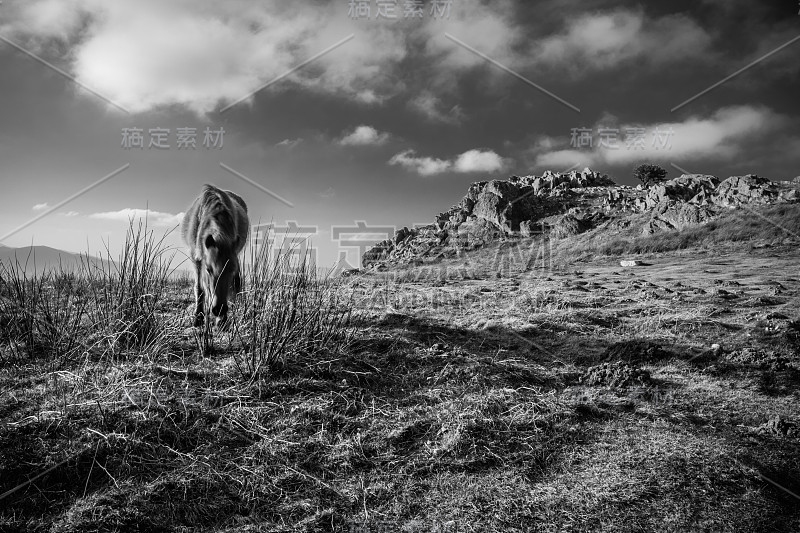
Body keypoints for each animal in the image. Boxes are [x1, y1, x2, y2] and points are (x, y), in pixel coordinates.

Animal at [183, 184, 248, 328]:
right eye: (208, 269)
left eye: (231, 270)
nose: (219, 309)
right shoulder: (196, 259)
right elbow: (200, 289)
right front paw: (198, 318)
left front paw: (221, 321)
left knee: (237, 283)